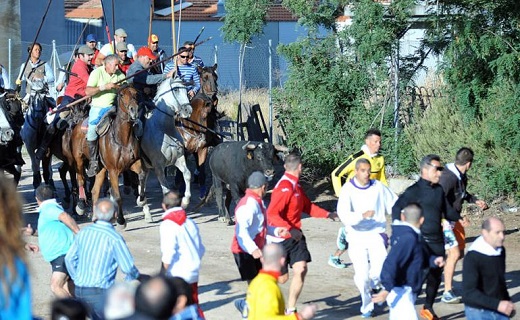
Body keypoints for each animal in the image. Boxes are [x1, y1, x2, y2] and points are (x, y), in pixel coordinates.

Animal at [68, 85, 147, 228]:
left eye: (135, 93)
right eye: (121, 94)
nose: (134, 110)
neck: (123, 139)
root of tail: (78, 124)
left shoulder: (134, 163)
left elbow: (142, 175)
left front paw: (141, 200)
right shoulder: (113, 171)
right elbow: (117, 197)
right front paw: (121, 221)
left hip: (101, 169)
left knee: (95, 190)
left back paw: (95, 217)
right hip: (79, 160)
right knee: (81, 179)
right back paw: (80, 206)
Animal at [140, 77, 193, 212]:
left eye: (186, 90)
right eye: (176, 89)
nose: (188, 110)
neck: (164, 129)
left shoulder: (179, 158)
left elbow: (187, 174)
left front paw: (185, 201)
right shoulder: (158, 167)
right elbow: (166, 189)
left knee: (142, 180)